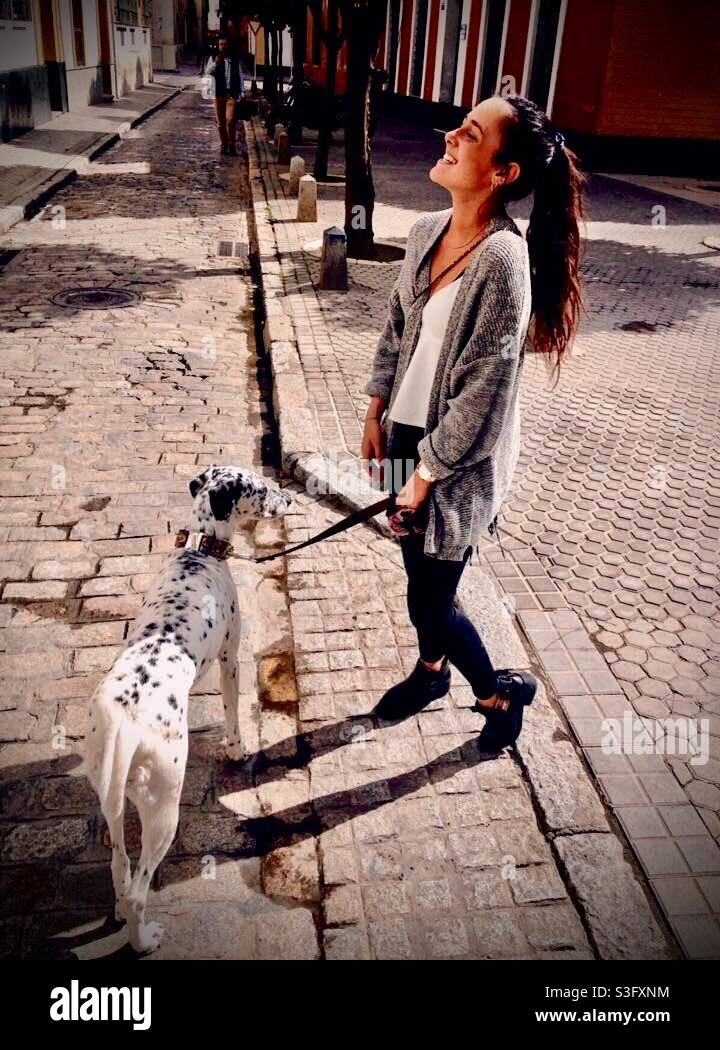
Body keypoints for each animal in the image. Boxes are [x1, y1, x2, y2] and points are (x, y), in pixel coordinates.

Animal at [81, 466, 289, 953]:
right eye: (260, 488)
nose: (288, 499)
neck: (199, 550)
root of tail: (126, 728)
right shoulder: (232, 659)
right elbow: (233, 713)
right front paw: (236, 749)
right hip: (163, 812)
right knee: (138, 891)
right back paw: (145, 940)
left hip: (111, 803)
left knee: (119, 869)